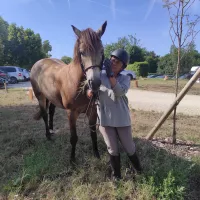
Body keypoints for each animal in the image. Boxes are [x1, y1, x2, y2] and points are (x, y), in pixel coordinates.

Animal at [29, 21, 107, 162]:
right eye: (82, 52)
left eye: (102, 51)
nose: (94, 83)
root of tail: (39, 63)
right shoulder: (71, 113)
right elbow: (74, 138)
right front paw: (72, 160)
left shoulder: (92, 111)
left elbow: (93, 134)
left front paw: (96, 154)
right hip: (40, 97)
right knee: (44, 114)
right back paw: (48, 135)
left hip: (52, 98)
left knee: (51, 112)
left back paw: (52, 130)